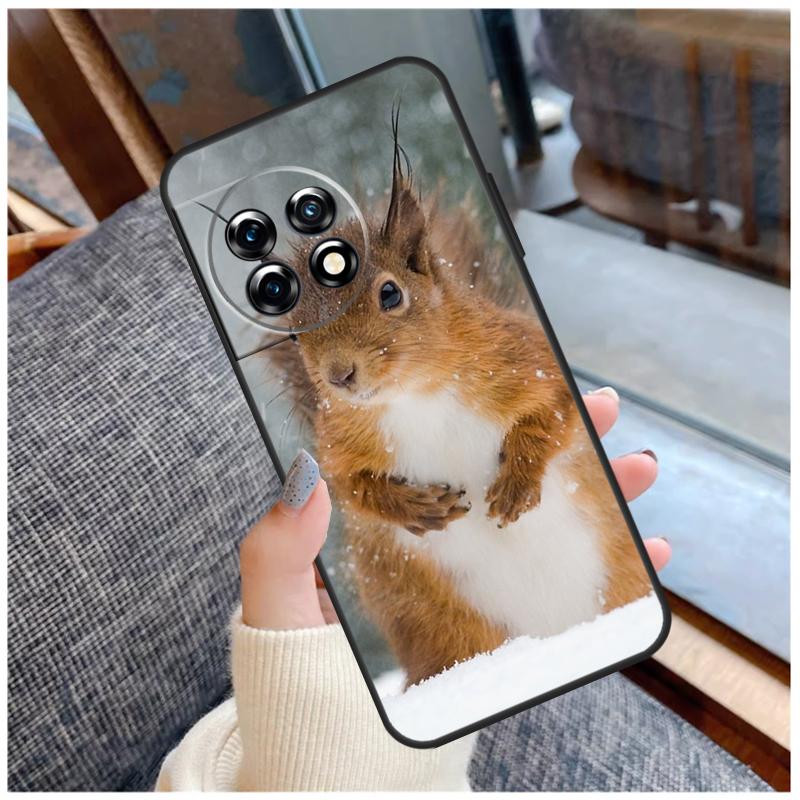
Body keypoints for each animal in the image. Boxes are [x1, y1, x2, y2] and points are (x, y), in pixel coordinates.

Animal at [279, 117, 652, 687]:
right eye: (296, 335)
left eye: (391, 294)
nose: (339, 376)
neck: (414, 398)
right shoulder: (338, 442)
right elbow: (348, 486)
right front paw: (413, 506)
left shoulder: (525, 359)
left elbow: (553, 413)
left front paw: (516, 482)